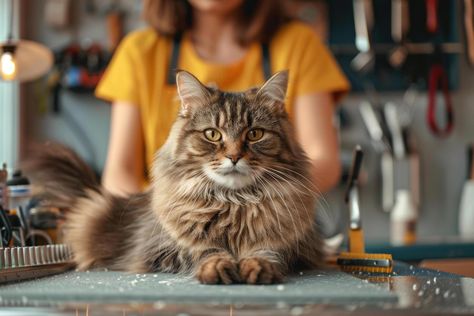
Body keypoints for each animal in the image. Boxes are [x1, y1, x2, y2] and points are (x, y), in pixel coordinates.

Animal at [24, 69, 324, 284]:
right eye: (212, 134)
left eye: (254, 134)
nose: (234, 156)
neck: (232, 202)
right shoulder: (161, 249)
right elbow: (204, 251)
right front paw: (218, 266)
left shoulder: (292, 247)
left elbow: (266, 251)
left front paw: (257, 265)